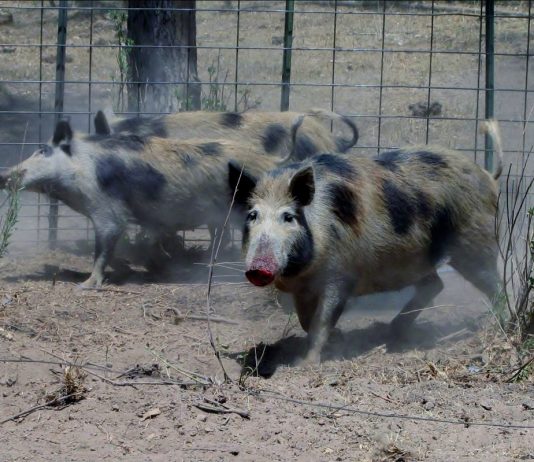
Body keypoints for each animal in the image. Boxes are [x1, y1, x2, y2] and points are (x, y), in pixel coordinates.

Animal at [0, 118, 298, 288]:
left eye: (42, 150)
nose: (5, 174)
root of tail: (272, 160)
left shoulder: (106, 209)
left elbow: (103, 247)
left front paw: (85, 285)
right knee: (220, 239)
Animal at [231, 120, 506, 364]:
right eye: (252, 215)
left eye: (288, 217)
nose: (258, 268)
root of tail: (488, 176)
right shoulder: (303, 288)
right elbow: (305, 320)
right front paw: (336, 339)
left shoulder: (341, 274)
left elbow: (322, 321)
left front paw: (305, 363)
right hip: (417, 260)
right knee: (435, 285)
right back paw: (391, 331)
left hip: (474, 244)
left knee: (495, 285)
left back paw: (494, 322)